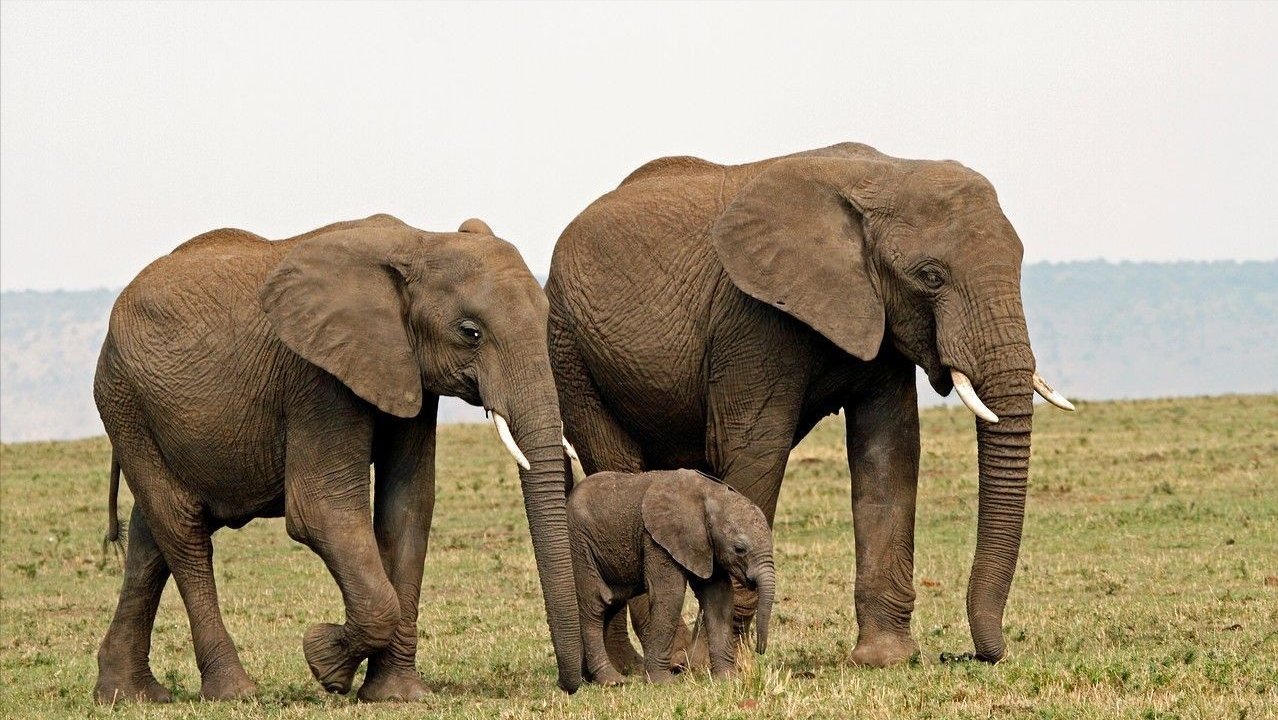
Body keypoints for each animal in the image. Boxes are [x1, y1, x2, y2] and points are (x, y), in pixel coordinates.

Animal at [92, 213, 582, 705]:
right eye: (470, 332)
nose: (570, 684)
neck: (418, 242)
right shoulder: (316, 374)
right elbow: (321, 511)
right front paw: (324, 661)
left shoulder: (405, 370)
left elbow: (407, 507)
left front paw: (395, 696)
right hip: (124, 400)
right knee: (182, 528)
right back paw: (234, 693)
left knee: (149, 538)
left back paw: (127, 695)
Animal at [572, 470, 777, 685]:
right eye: (739, 549)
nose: (760, 650)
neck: (710, 494)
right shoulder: (656, 539)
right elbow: (671, 595)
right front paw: (662, 682)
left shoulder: (707, 546)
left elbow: (719, 598)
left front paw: (727, 679)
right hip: (580, 545)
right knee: (594, 607)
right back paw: (612, 680)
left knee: (610, 606)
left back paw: (588, 678)